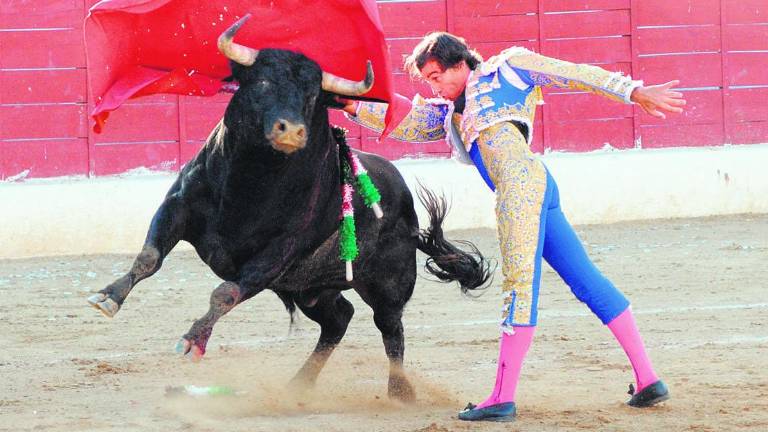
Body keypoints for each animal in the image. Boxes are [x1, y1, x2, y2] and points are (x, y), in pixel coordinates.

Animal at [87, 16, 488, 402]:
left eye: (312, 96)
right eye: (262, 82)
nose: (292, 131)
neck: (250, 183)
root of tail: (409, 210)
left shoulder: (277, 255)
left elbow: (224, 292)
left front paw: (193, 340)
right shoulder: (178, 205)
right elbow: (149, 257)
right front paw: (107, 297)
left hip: (388, 284)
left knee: (391, 330)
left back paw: (399, 393)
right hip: (311, 288)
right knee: (339, 319)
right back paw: (299, 385)